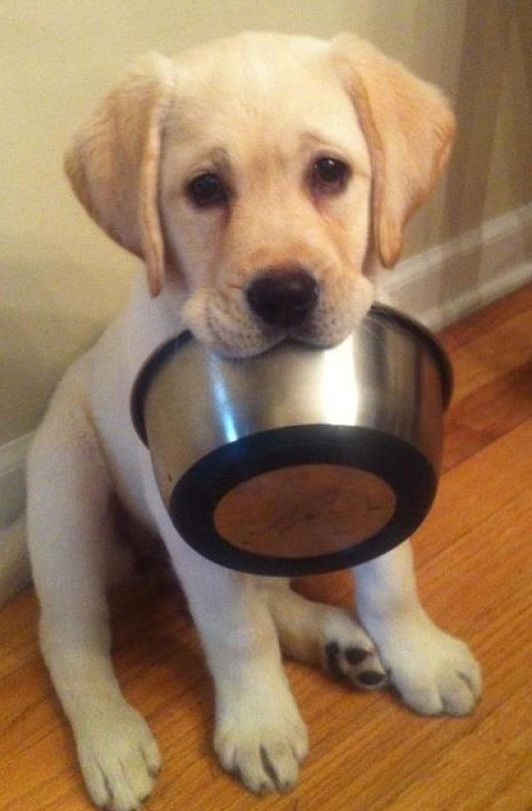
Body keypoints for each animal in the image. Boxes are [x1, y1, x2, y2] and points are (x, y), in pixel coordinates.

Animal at [26, 31, 482, 811]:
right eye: (205, 189)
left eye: (329, 172)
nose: (285, 294)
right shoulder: (180, 510)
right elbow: (235, 631)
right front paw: (261, 722)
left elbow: (389, 576)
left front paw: (417, 653)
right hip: (66, 503)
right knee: (71, 637)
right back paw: (112, 740)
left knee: (264, 589)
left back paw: (339, 641)